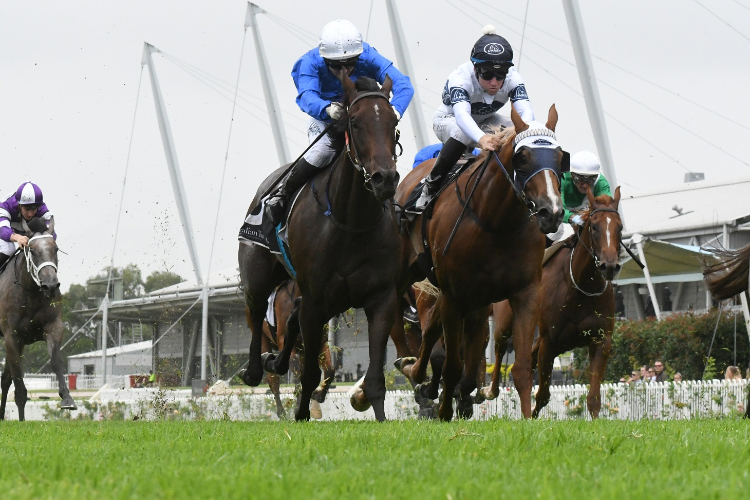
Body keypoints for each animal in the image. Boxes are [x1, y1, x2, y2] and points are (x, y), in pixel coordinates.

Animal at [0, 221, 75, 420]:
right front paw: (21, 421)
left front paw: (67, 398)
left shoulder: (52, 327)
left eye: (55, 249)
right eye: (32, 250)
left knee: (5, 380)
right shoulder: (11, 337)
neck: (31, 293)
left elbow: (55, 360)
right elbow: (19, 386)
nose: (50, 285)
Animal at [262, 282, 338, 418]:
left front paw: (318, 396)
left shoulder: (321, 342)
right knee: (273, 380)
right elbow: (297, 372)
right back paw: (282, 413)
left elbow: (330, 370)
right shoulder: (285, 342)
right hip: (264, 339)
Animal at [400, 107, 564, 420]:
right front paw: (444, 413)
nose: (552, 212)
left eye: (561, 157)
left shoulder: (524, 294)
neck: (495, 223)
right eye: (523, 158)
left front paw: (527, 419)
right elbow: (451, 365)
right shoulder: (453, 296)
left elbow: (521, 368)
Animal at [482, 188, 624, 418]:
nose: (609, 266)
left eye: (619, 227)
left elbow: (594, 398)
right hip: (505, 322)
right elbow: (543, 395)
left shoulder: (601, 340)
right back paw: (489, 390)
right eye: (594, 226)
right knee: (500, 348)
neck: (581, 287)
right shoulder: (550, 342)